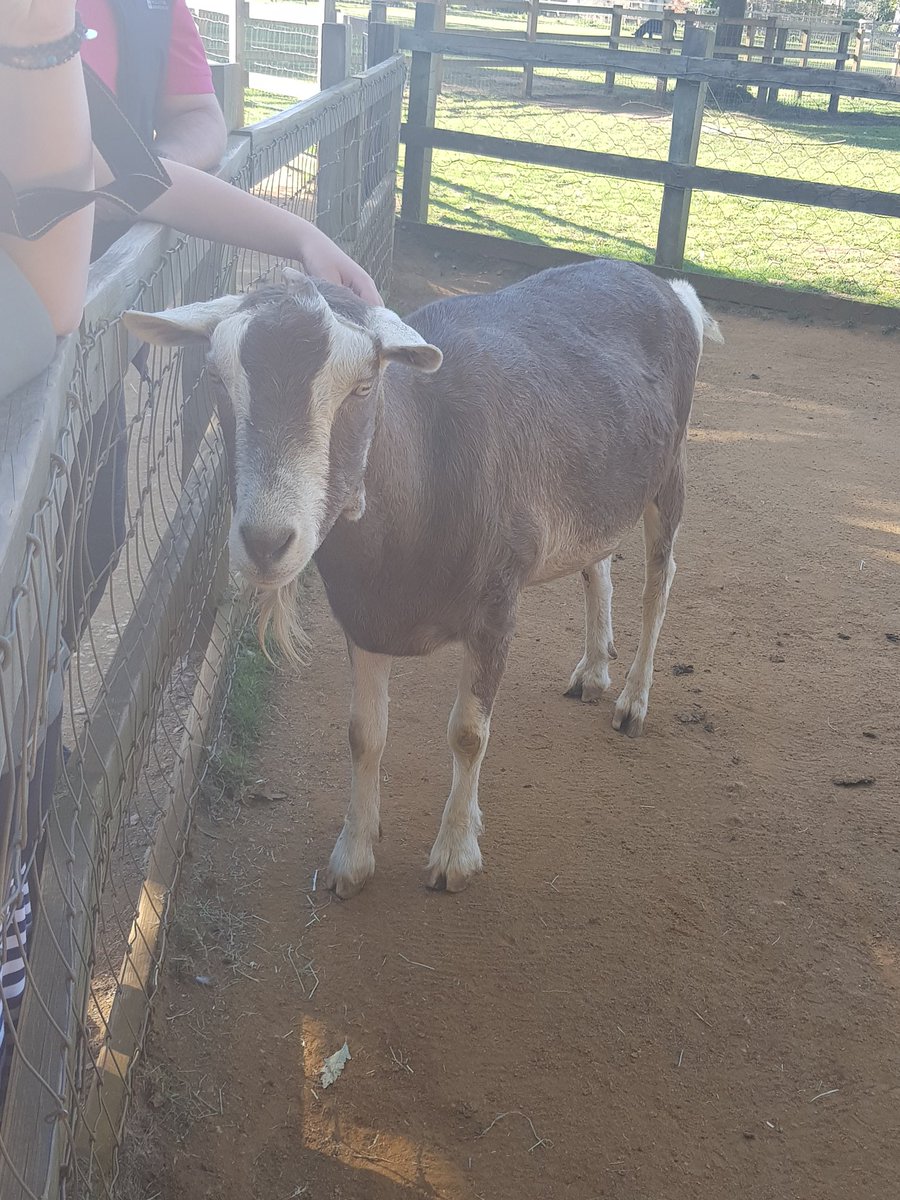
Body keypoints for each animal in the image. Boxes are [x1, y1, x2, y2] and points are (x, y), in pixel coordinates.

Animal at [125, 258, 722, 898]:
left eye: (364, 387)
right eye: (214, 376)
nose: (265, 542)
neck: (431, 459)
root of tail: (665, 286)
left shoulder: (496, 609)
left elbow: (468, 735)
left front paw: (454, 855)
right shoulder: (363, 616)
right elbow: (364, 734)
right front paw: (352, 859)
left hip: (671, 470)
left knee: (658, 582)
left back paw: (633, 702)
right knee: (598, 565)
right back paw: (592, 671)